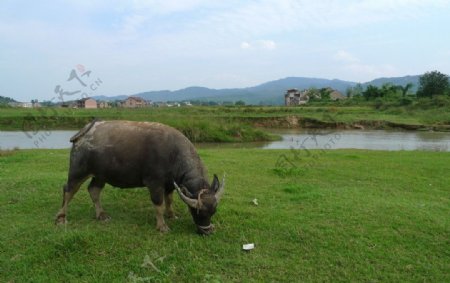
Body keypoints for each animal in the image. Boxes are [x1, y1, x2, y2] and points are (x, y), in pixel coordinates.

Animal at [55, 120, 224, 235]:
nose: (207, 231)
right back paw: (61, 218)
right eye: (197, 211)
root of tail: (83, 132)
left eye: (213, 211)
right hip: (78, 171)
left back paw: (101, 215)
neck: (173, 155)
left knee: (94, 190)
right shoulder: (154, 183)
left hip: (101, 175)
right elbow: (159, 204)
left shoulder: (170, 185)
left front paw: (171, 215)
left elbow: (169, 200)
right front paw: (162, 226)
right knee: (68, 190)